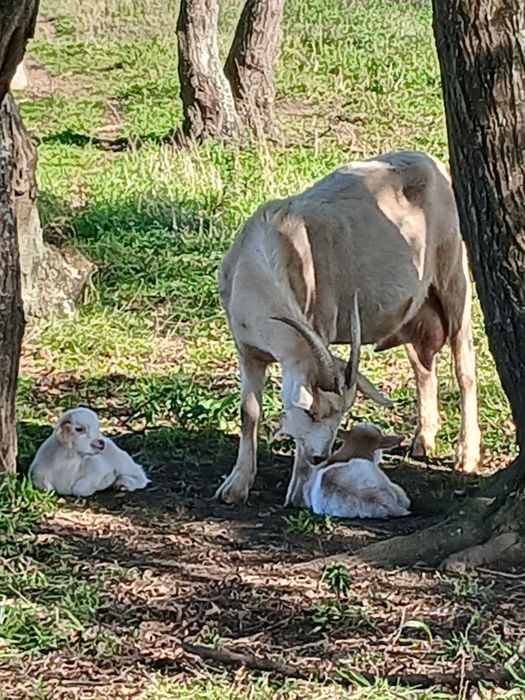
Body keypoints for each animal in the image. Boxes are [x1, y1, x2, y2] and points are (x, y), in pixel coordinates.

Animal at [216, 150, 480, 506]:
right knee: (422, 366)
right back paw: (423, 439)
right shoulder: (247, 348)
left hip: (453, 274)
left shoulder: (319, 321)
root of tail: (432, 162)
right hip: (416, 309)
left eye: (339, 414)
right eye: (311, 412)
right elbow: (249, 412)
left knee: (464, 366)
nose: (320, 457)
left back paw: (467, 454)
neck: (267, 252)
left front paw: (298, 492)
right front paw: (236, 486)